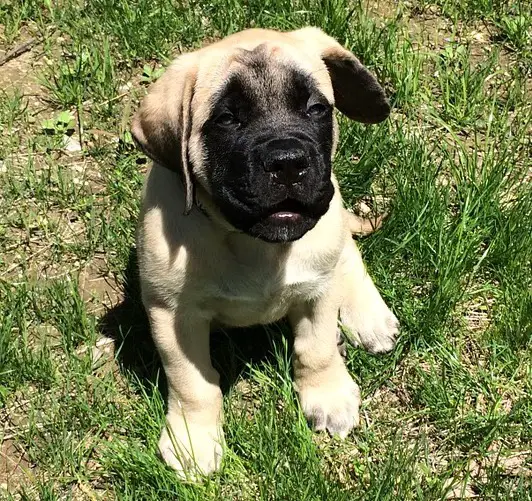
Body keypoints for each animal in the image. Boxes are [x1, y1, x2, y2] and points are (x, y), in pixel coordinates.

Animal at [133, 26, 400, 476]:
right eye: (227, 119)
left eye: (316, 109)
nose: (288, 162)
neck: (253, 243)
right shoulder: (172, 314)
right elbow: (192, 382)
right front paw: (193, 439)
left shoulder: (319, 291)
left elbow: (316, 350)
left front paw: (327, 395)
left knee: (348, 253)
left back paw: (369, 316)